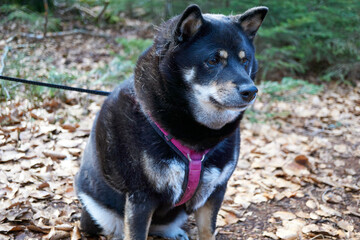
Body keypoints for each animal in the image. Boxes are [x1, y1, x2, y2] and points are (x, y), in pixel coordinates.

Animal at [75, 4, 268, 240]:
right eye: (212, 61)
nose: (251, 91)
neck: (197, 135)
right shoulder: (141, 197)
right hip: (97, 214)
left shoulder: (215, 191)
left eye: (244, 60)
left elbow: (207, 231)